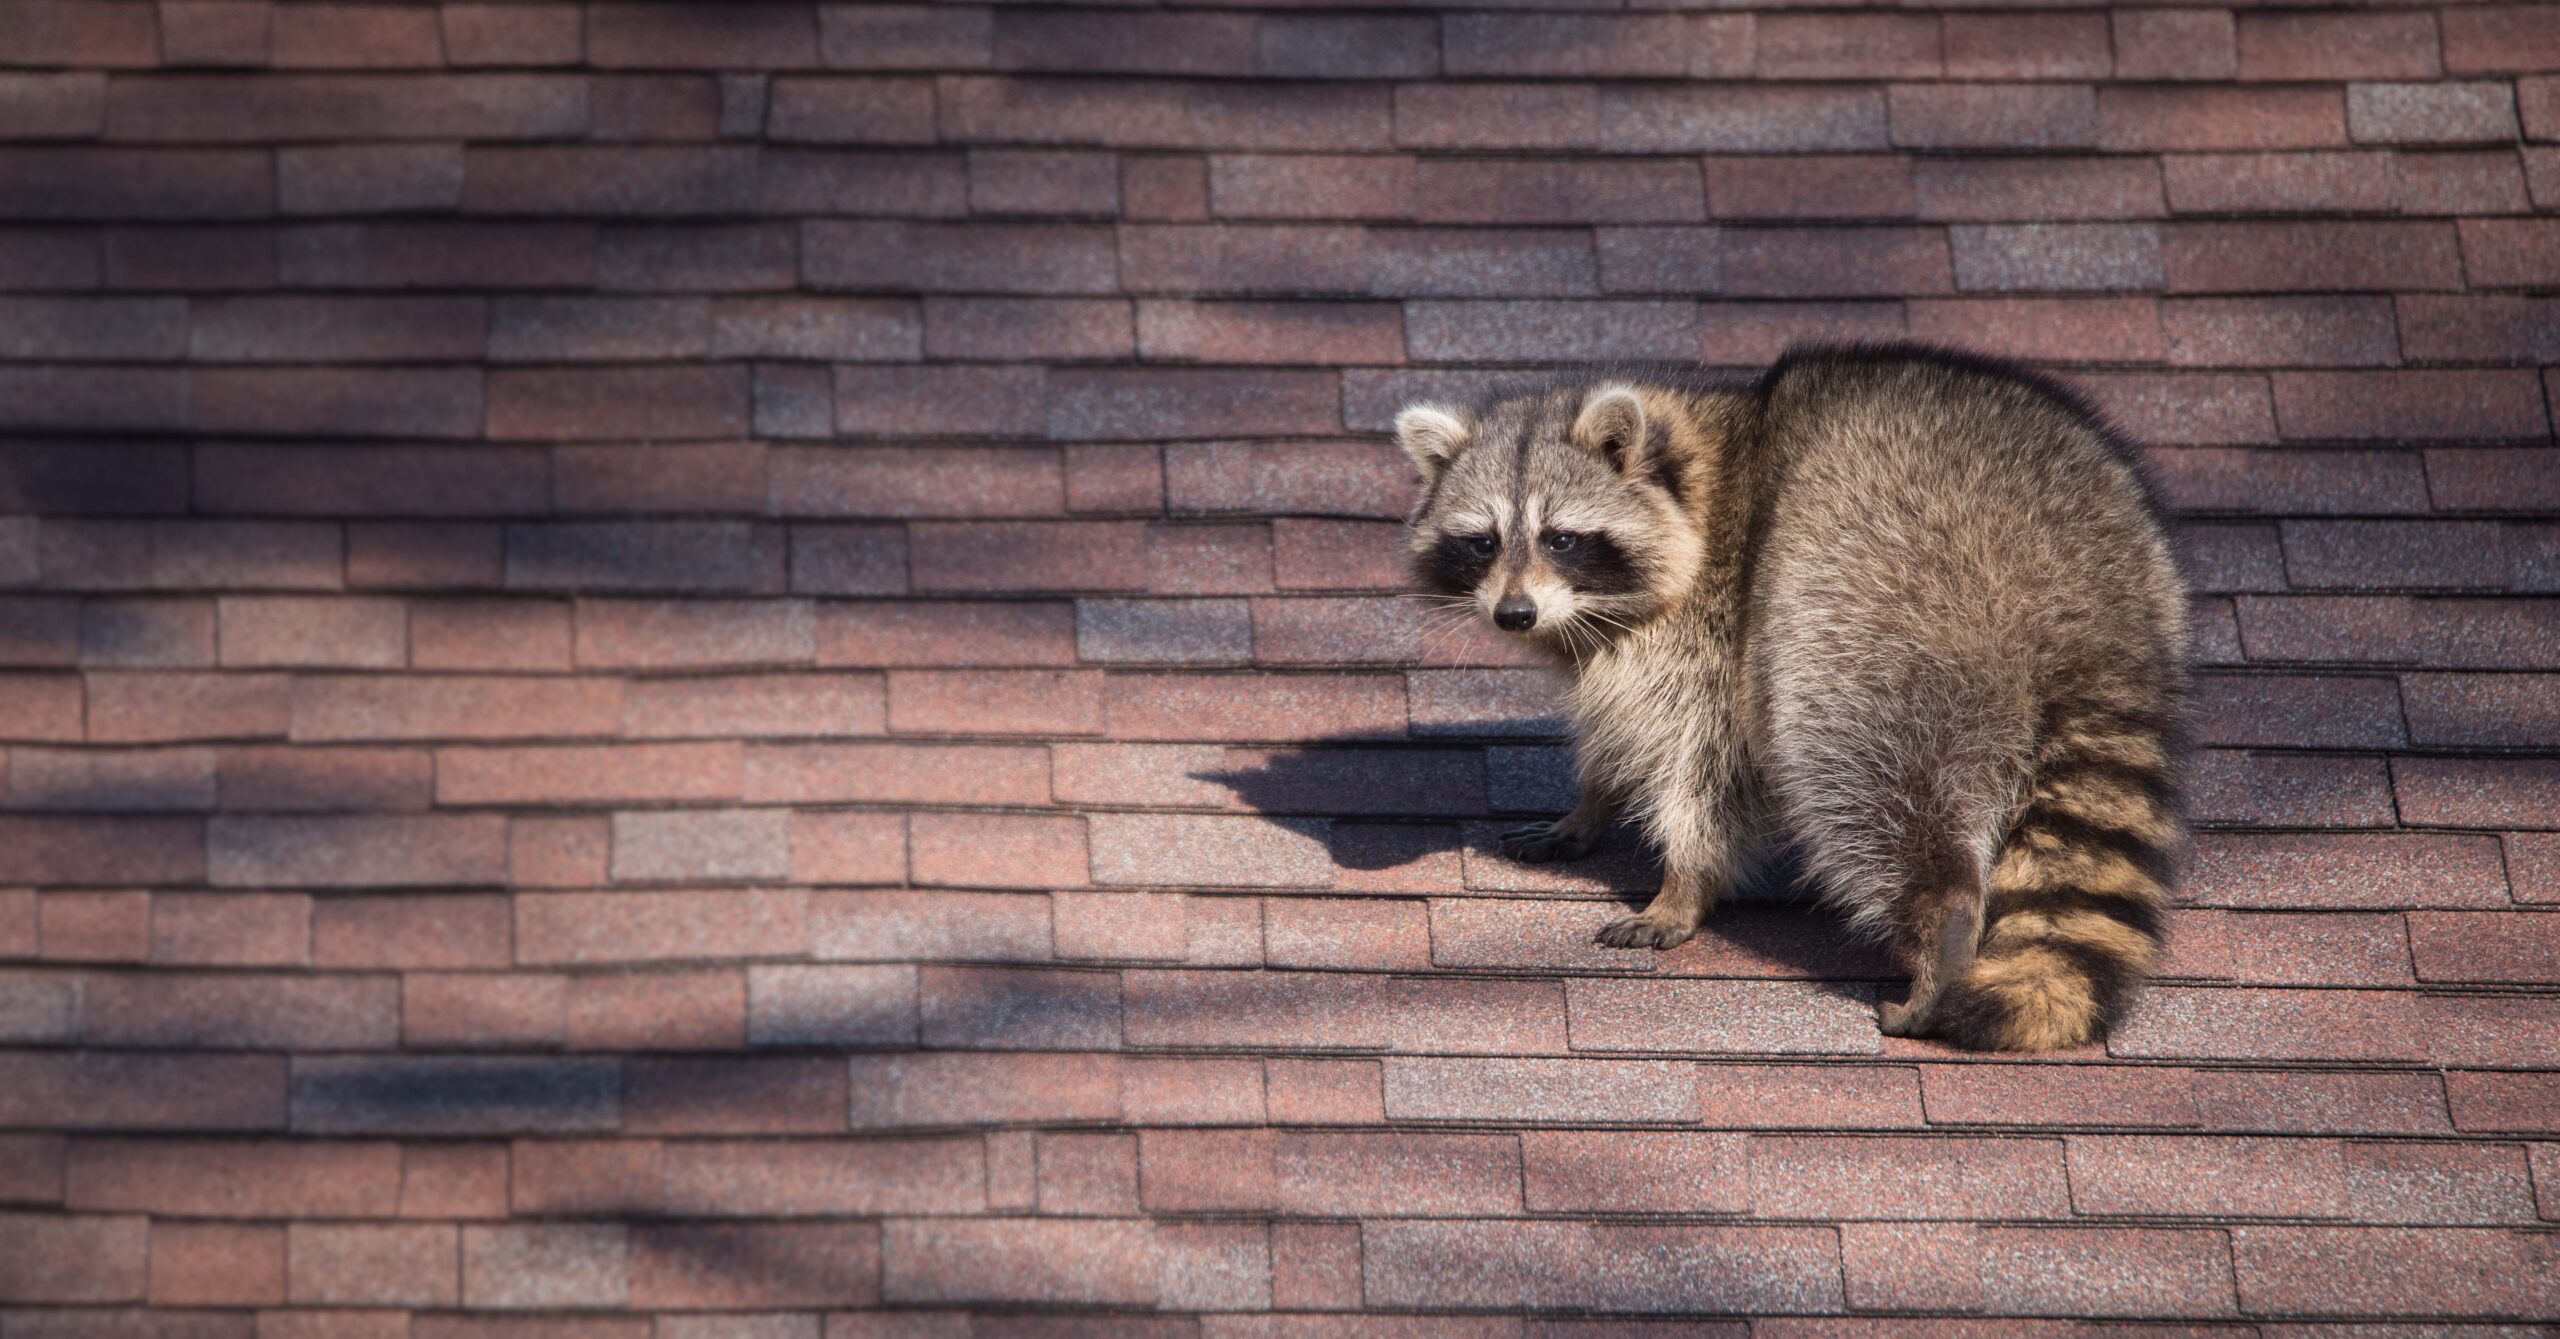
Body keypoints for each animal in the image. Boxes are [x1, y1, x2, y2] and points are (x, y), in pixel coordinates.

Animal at [1413, 348, 2191, 1059]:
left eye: (1562, 538)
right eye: (1482, 541)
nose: (1514, 614)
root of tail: (2080, 586)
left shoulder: (1714, 629)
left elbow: (1707, 764)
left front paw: (1684, 882)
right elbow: (1616, 727)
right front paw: (1590, 805)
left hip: (1876, 599)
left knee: (1859, 763)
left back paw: (1942, 919)